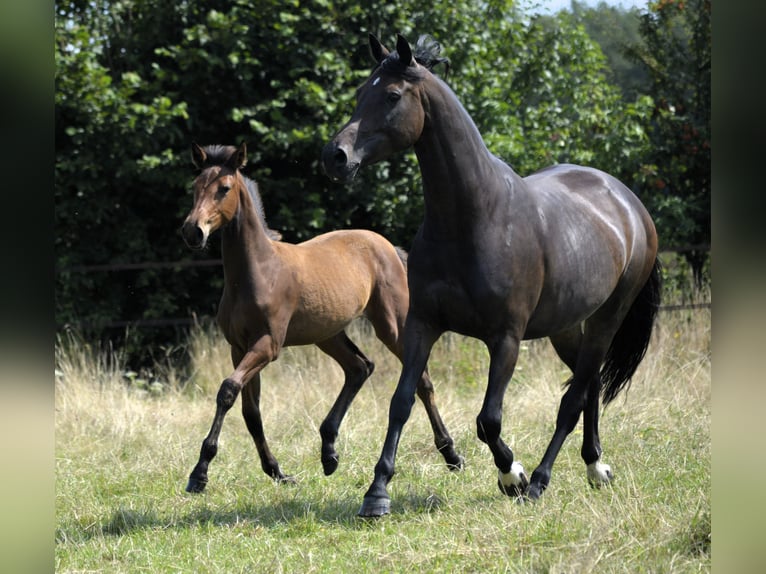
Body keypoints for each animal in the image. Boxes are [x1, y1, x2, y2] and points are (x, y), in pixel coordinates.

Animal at [183, 144, 464, 496]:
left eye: (224, 188)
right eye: (194, 187)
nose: (193, 231)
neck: (256, 272)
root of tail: (387, 245)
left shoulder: (268, 345)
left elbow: (228, 389)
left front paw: (199, 473)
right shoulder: (239, 347)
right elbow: (251, 412)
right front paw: (277, 472)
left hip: (392, 324)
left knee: (421, 381)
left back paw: (452, 455)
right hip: (328, 334)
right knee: (360, 367)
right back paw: (329, 452)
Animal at [320, 33, 664, 516]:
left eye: (391, 96)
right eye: (358, 94)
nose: (335, 157)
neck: (474, 217)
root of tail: (629, 202)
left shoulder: (506, 338)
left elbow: (488, 420)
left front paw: (511, 476)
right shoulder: (422, 325)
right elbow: (402, 402)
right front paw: (377, 492)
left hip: (606, 319)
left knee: (574, 397)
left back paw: (540, 480)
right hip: (566, 327)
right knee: (590, 383)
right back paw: (596, 467)